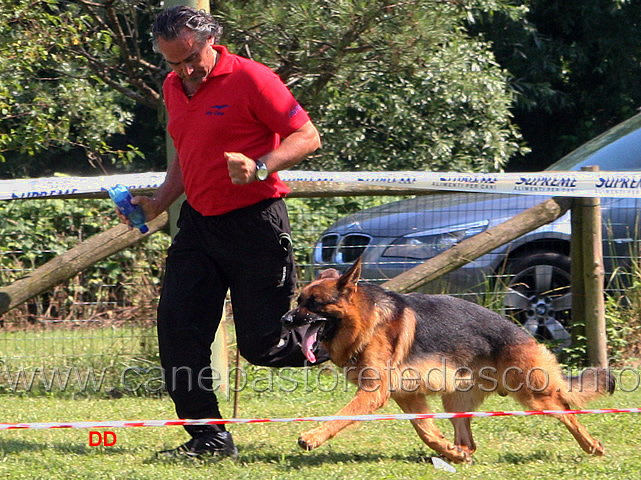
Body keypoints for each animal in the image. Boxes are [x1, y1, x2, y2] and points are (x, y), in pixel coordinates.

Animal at [282, 258, 616, 464]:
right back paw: (457, 454)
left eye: (314, 304)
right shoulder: (407, 396)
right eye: (299, 301)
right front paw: (448, 451)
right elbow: (427, 431)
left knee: (568, 412)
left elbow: (340, 416)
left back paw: (592, 445)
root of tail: (524, 335)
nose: (285, 320)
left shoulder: (373, 393)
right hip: (455, 399)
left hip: (534, 396)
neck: (367, 321)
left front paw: (312, 436)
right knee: (468, 440)